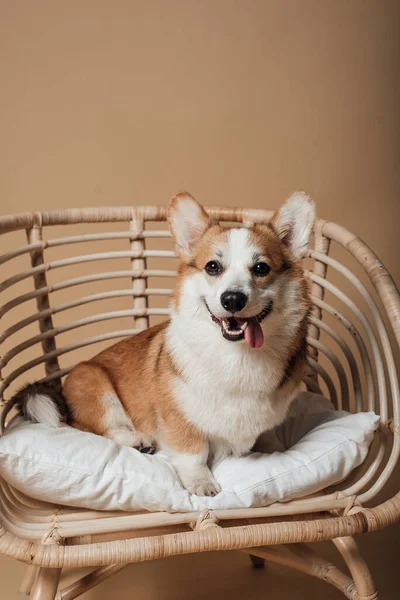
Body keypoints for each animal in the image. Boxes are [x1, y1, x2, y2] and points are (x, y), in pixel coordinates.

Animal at [9, 192, 314, 496]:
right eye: (212, 267)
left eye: (261, 267)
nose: (232, 299)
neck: (236, 356)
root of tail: (60, 389)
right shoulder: (179, 419)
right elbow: (194, 453)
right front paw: (201, 483)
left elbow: (270, 439)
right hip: (94, 384)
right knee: (100, 427)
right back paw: (137, 441)